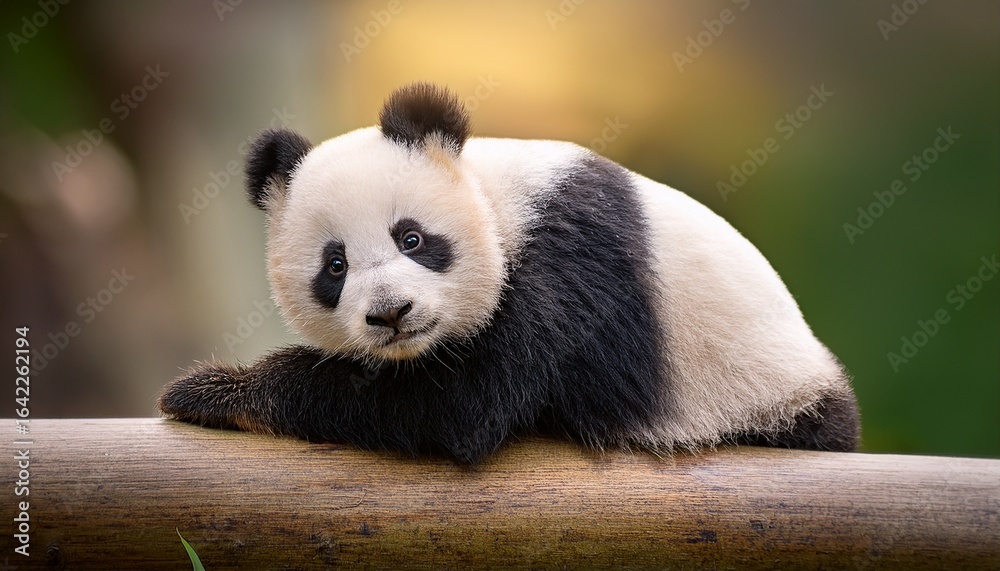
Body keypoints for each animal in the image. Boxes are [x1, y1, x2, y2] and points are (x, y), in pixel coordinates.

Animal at [159, 82, 859, 464]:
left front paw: (213, 390)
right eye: (335, 266)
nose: (391, 314)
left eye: (412, 238)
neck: (494, 202)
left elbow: (463, 404)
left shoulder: (569, 259)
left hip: (757, 395)